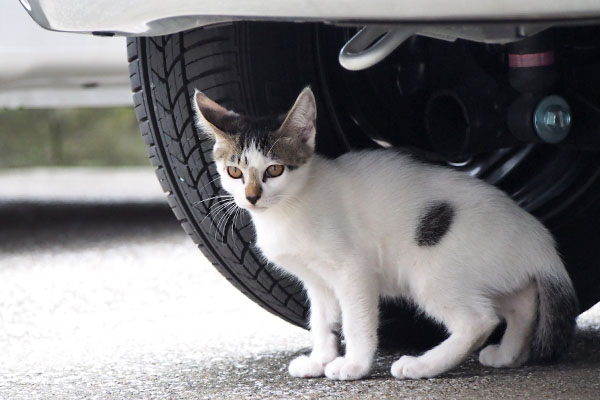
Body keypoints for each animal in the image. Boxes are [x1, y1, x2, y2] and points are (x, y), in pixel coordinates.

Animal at [191, 86, 576, 380]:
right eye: (234, 172)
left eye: (274, 170)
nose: (252, 197)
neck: (292, 206)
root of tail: (540, 242)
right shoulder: (316, 281)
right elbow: (321, 319)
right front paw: (319, 359)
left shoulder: (353, 269)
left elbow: (356, 320)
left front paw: (353, 366)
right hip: (491, 276)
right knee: (523, 302)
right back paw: (507, 354)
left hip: (432, 273)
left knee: (479, 320)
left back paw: (422, 366)